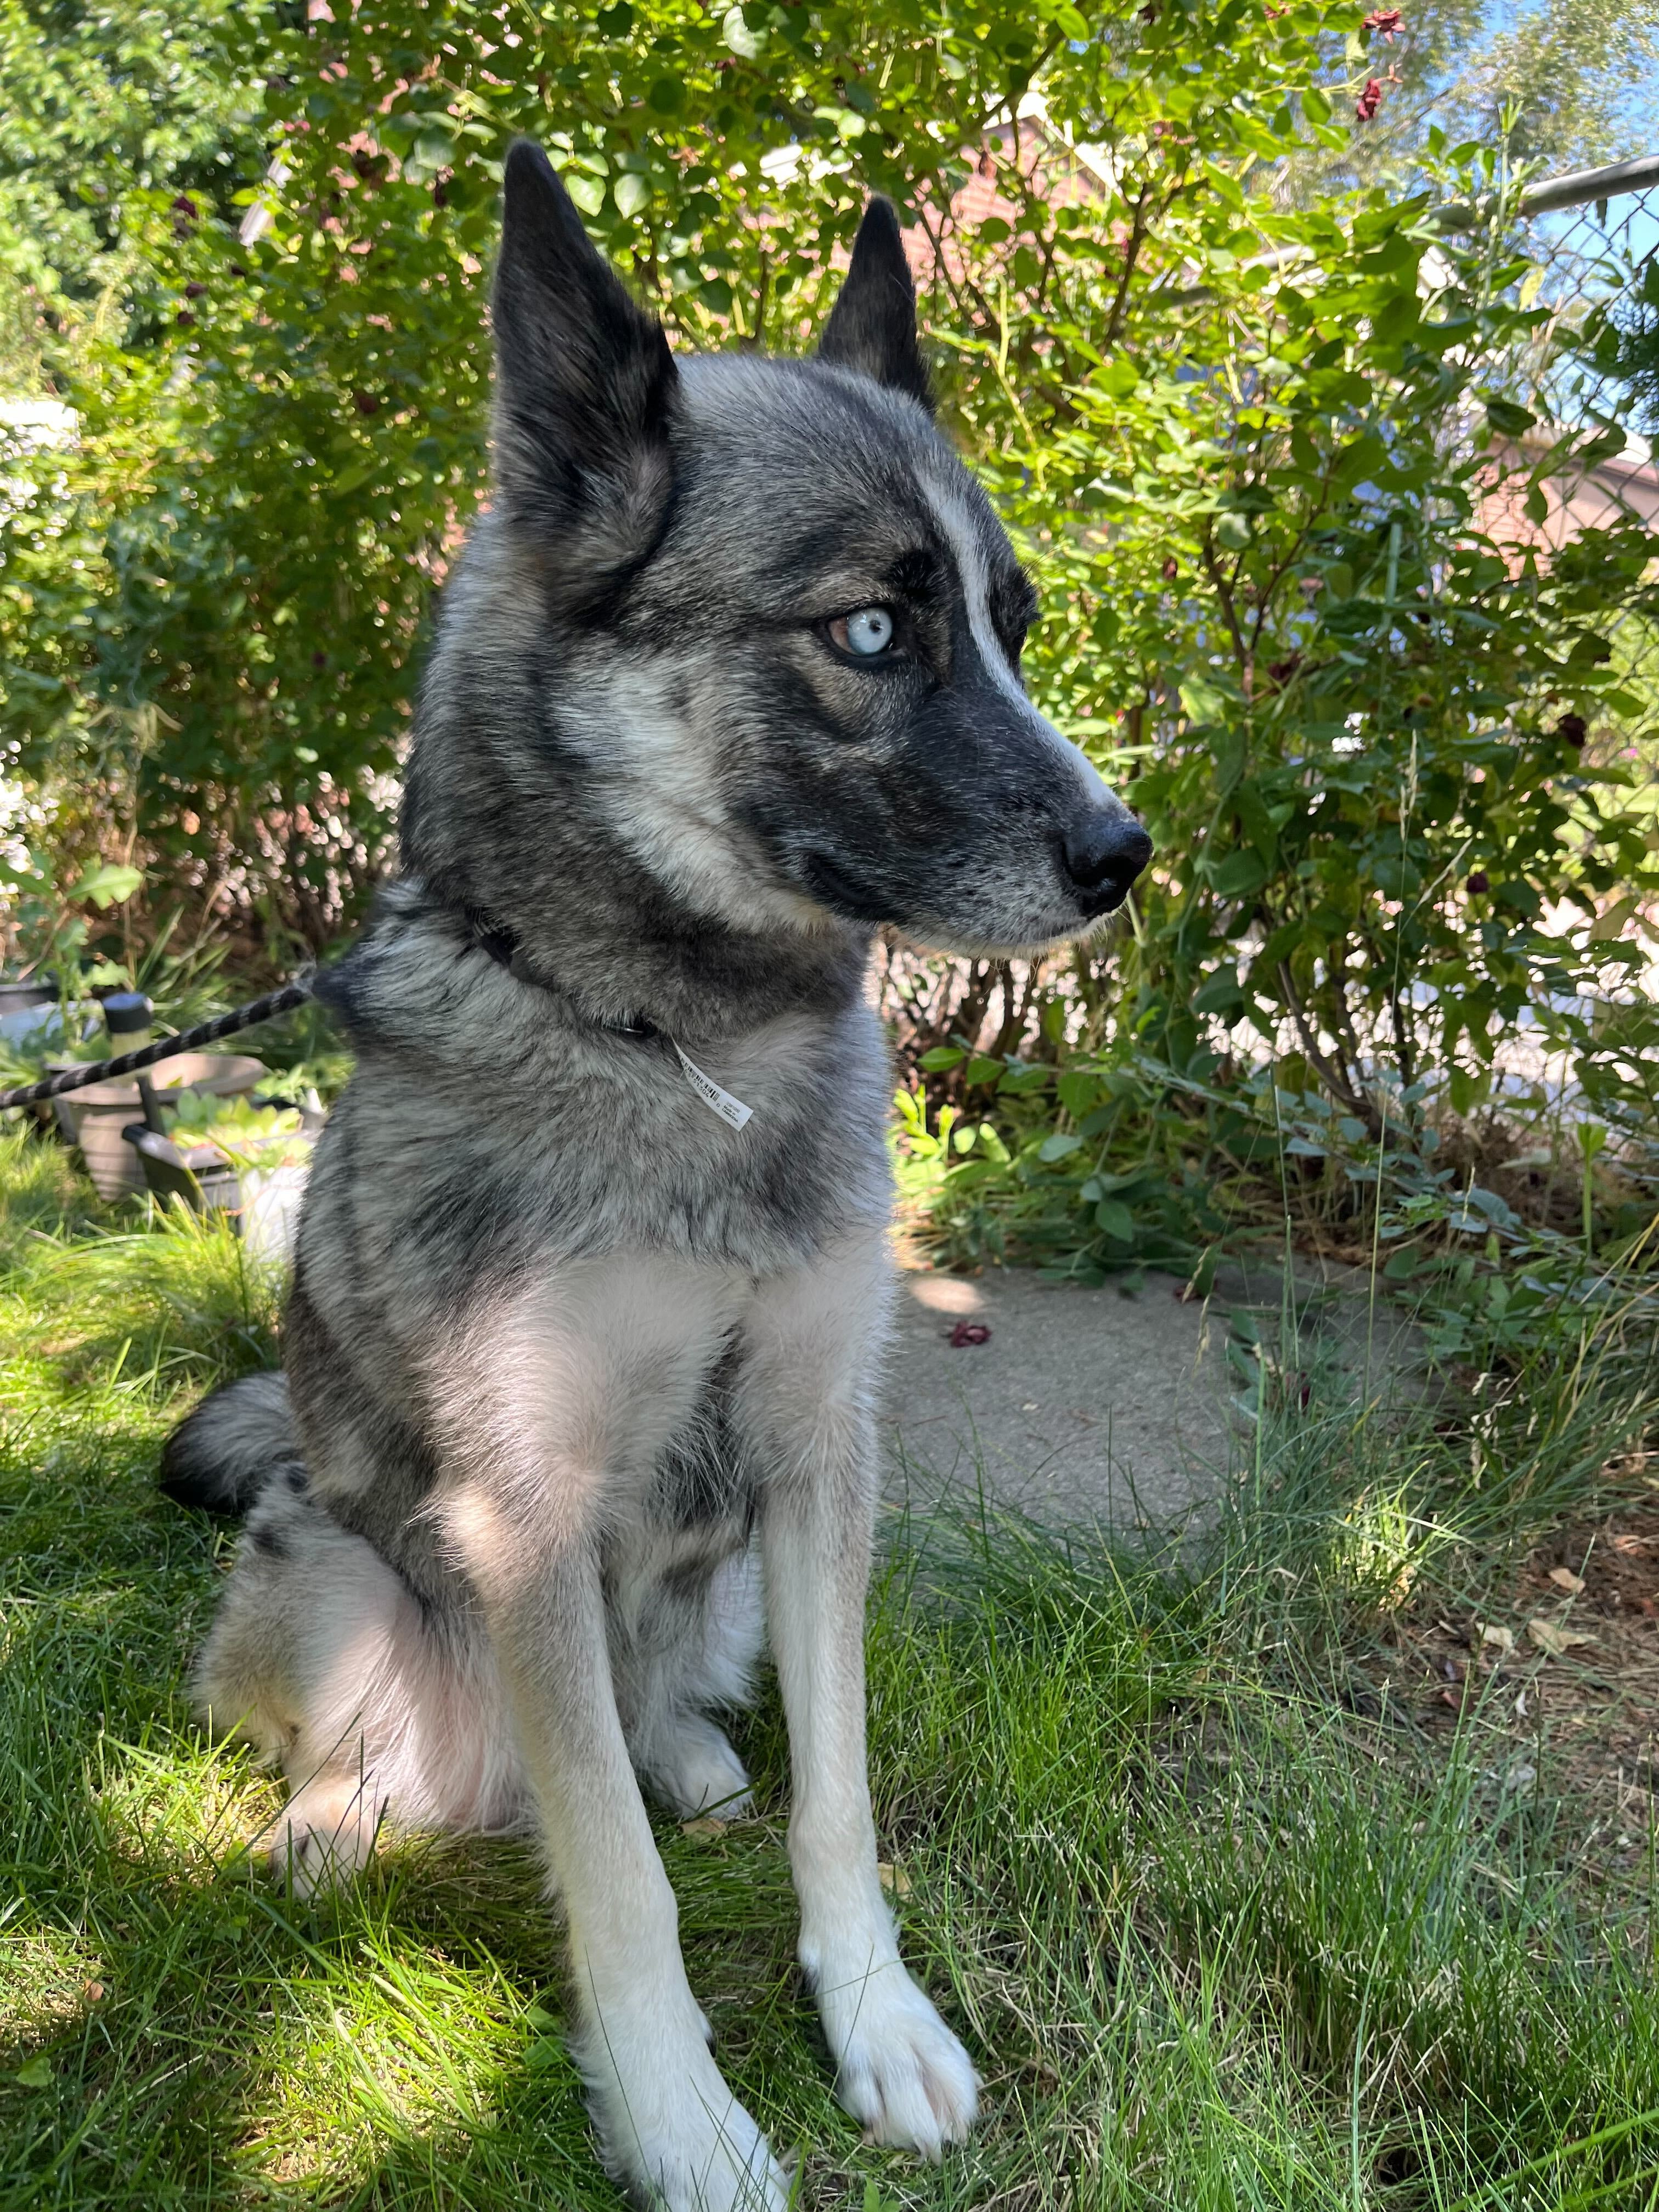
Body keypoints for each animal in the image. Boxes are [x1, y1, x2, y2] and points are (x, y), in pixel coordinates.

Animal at [166, 143, 1159, 2212]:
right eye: (871, 631)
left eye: (1013, 621)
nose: (1129, 855)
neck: (685, 1054)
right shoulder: (525, 1515)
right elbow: (612, 1887)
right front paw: (678, 2111)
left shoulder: (814, 1462)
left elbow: (836, 1809)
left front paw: (875, 2020)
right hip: (349, 1567)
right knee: (378, 1739)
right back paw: (335, 1821)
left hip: (732, 1588)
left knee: (653, 1725)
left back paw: (688, 1756)